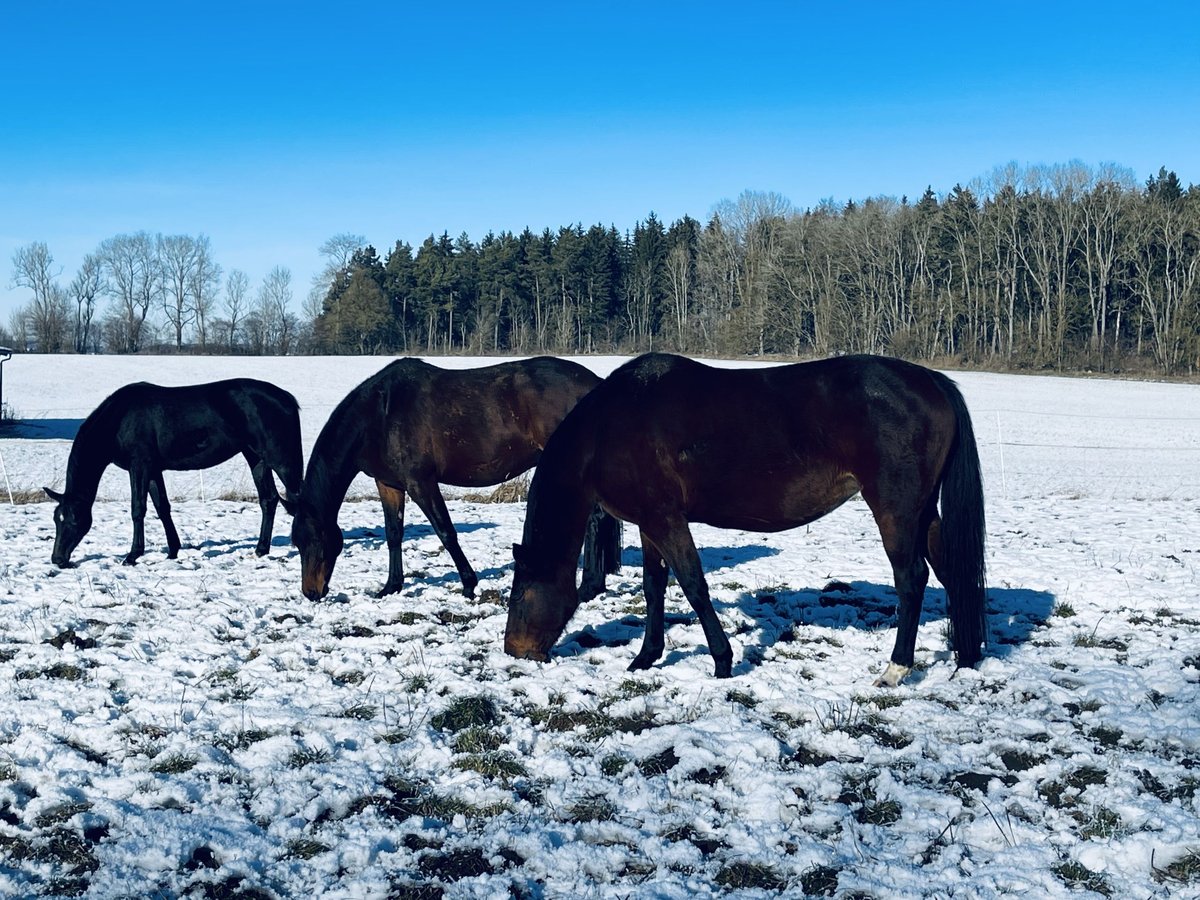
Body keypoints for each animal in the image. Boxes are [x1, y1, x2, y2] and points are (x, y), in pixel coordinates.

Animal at [48, 379, 304, 564]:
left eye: (73, 519)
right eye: (56, 519)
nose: (57, 559)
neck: (119, 420)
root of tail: (286, 398)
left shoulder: (139, 467)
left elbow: (138, 509)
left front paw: (132, 555)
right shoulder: (153, 470)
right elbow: (162, 508)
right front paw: (172, 550)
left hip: (281, 461)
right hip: (256, 459)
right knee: (269, 500)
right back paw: (261, 549)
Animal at [294, 355, 624, 602]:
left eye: (314, 540)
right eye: (296, 543)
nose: (311, 592)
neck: (380, 414)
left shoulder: (421, 482)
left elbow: (446, 532)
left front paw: (468, 584)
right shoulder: (389, 484)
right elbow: (393, 534)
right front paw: (391, 586)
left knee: (594, 519)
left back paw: (588, 587)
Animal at [504, 352, 984, 681]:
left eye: (522, 594)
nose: (514, 650)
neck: (610, 428)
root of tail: (931, 380)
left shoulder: (666, 519)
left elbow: (694, 586)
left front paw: (722, 661)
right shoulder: (648, 522)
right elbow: (654, 587)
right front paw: (645, 657)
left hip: (895, 510)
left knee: (912, 579)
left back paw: (896, 669)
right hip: (924, 512)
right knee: (951, 571)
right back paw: (967, 656)